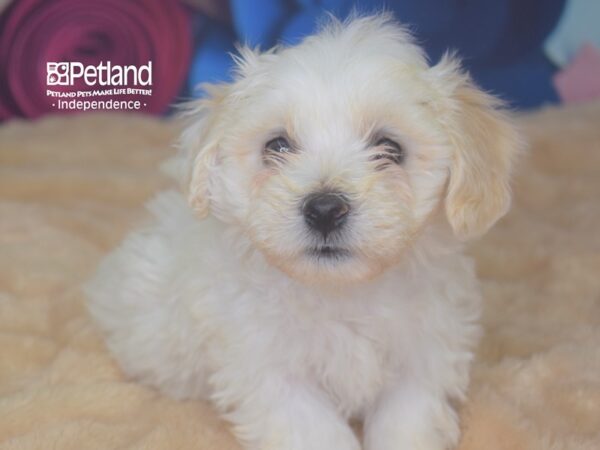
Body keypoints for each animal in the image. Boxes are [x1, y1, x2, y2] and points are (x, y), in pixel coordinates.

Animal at [85, 14, 520, 450]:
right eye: (277, 146)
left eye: (390, 148)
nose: (325, 209)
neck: (341, 293)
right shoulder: (274, 377)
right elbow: (318, 432)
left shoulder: (420, 365)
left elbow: (406, 425)